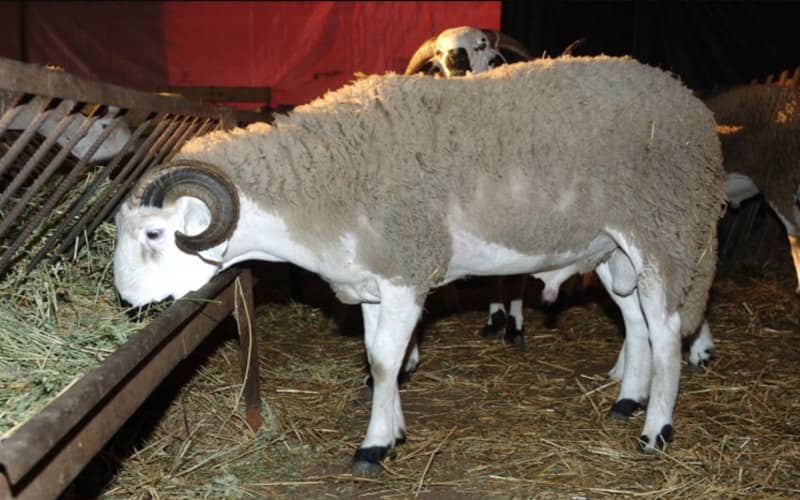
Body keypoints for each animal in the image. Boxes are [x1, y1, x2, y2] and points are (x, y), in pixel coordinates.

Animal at [113, 55, 726, 475]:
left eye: (153, 233)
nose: (126, 300)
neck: (323, 187)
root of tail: (690, 104)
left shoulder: (406, 270)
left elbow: (385, 360)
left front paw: (374, 445)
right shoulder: (371, 280)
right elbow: (375, 354)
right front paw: (393, 425)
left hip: (665, 231)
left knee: (665, 333)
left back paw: (655, 430)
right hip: (613, 249)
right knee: (635, 324)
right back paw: (627, 401)